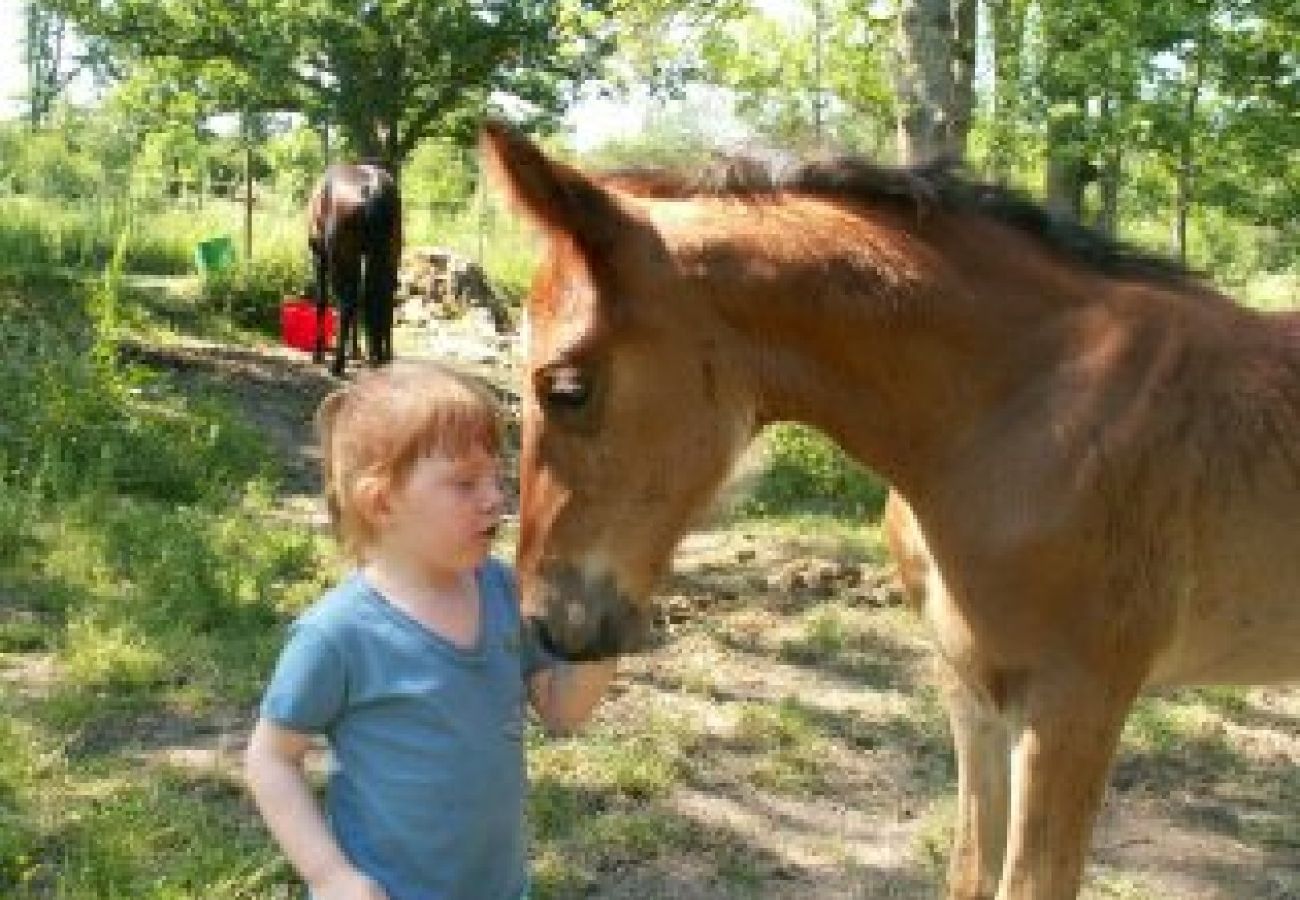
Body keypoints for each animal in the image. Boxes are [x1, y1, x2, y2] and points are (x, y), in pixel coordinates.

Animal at [308, 162, 400, 377]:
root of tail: (373, 186)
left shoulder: (320, 256)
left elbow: (322, 301)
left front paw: (319, 354)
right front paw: (356, 351)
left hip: (342, 258)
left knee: (347, 303)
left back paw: (338, 364)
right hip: (385, 255)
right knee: (380, 298)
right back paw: (380, 356)